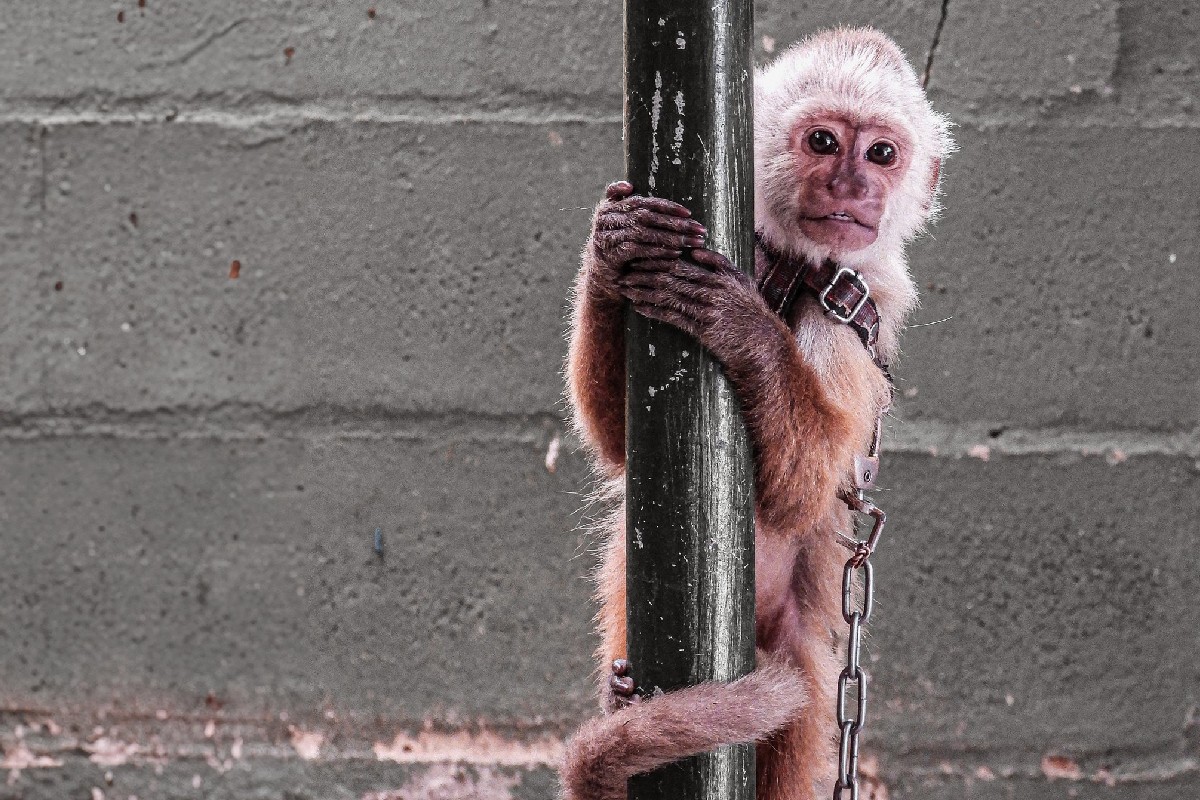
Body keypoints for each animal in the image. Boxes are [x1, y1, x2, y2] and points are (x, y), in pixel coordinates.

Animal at [561, 27, 953, 800]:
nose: (852, 188)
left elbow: (799, 497)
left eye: (882, 154)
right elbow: (619, 446)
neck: (794, 267)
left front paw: (740, 325)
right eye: (824, 142)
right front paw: (614, 246)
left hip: (802, 673)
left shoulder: (852, 315)